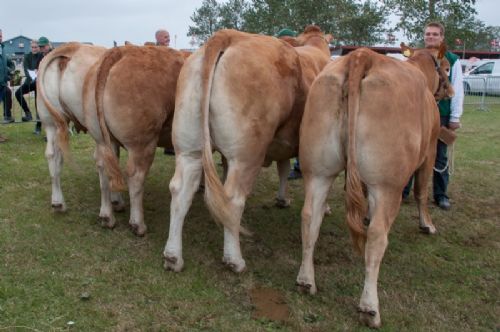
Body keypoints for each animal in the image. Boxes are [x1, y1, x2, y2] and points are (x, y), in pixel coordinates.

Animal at [36, 43, 127, 220]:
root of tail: (72, 47)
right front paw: (115, 200)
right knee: (103, 158)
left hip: (51, 121)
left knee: (52, 155)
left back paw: (58, 203)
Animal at [88, 44, 186, 236]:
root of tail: (124, 50)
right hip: (143, 142)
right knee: (135, 176)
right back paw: (137, 224)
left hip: (104, 139)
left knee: (104, 167)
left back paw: (107, 216)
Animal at [164, 26, 332, 274]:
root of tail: (229, 34)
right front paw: (325, 207)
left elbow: (283, 169)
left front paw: (282, 199)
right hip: (246, 155)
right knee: (233, 199)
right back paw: (235, 259)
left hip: (188, 148)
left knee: (180, 190)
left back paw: (173, 256)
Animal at [294, 45, 456, 328]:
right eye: (446, 66)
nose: (450, 91)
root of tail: (362, 55)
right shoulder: (430, 150)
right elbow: (421, 192)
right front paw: (427, 224)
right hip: (387, 184)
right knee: (377, 236)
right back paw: (370, 308)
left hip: (317, 170)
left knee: (309, 218)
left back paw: (306, 281)